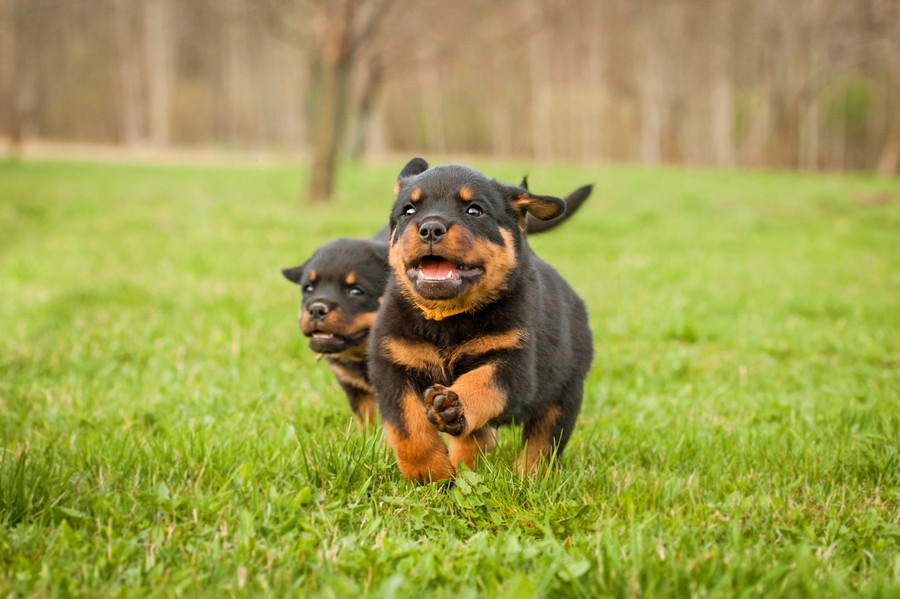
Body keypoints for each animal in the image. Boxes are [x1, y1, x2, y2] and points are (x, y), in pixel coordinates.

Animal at [370, 158, 596, 482]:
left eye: (474, 210)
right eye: (408, 211)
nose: (430, 228)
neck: (447, 318)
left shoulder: (513, 365)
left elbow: (482, 383)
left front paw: (455, 404)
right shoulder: (392, 365)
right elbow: (409, 430)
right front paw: (432, 477)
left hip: (565, 391)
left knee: (543, 442)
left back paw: (529, 478)